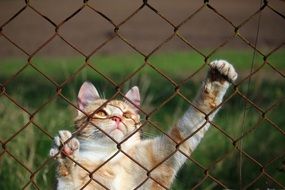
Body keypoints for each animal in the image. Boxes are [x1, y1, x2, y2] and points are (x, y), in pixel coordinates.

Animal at [49, 60, 237, 189]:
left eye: (126, 115)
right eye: (102, 113)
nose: (117, 118)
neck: (110, 157)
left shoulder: (167, 152)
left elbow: (193, 117)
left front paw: (217, 80)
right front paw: (65, 153)